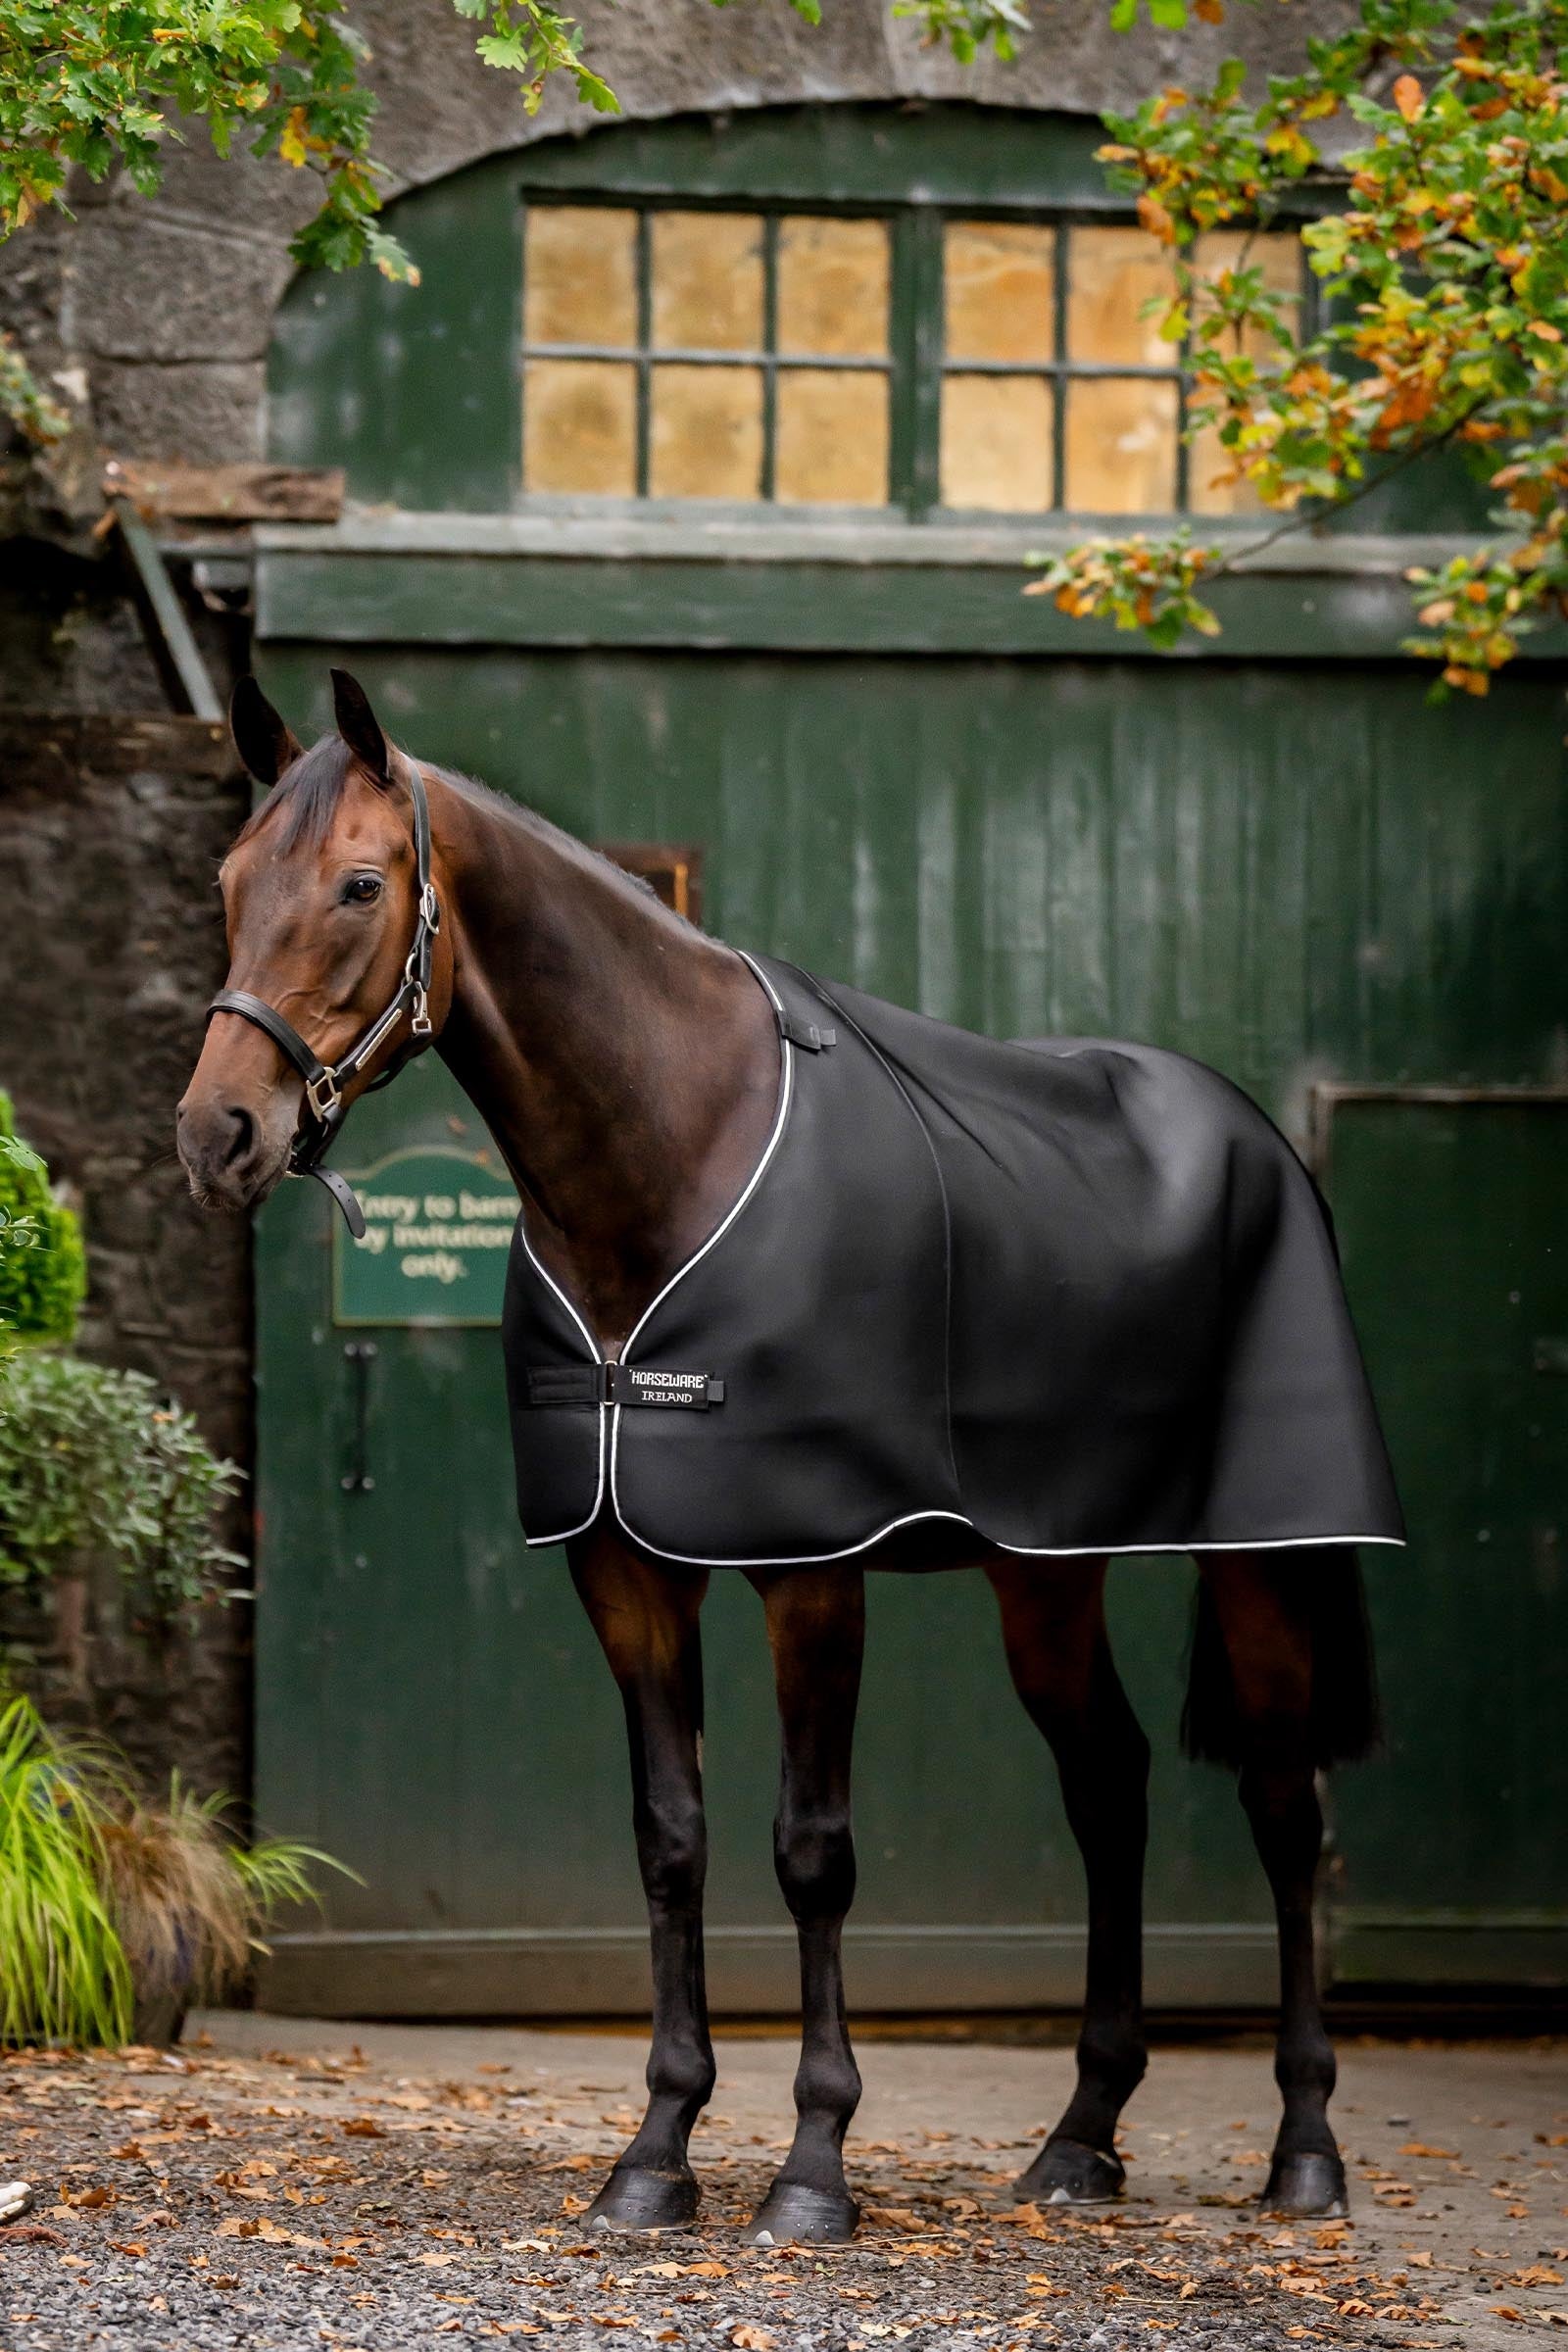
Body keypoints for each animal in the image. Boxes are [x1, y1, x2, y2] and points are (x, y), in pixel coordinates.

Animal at [177, 668, 1396, 2246]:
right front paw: (657, 2151)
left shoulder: (812, 1570)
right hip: (1043, 1573)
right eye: (226, 884)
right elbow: (671, 1837)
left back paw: (1305, 2152)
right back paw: (1080, 2138)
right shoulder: (625, 1567)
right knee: (1109, 1785)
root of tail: (1254, 1138)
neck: (672, 1147)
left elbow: (811, 1850)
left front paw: (812, 2167)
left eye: (360, 885)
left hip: (1261, 1556)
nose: (218, 1134)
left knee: (1283, 1806)